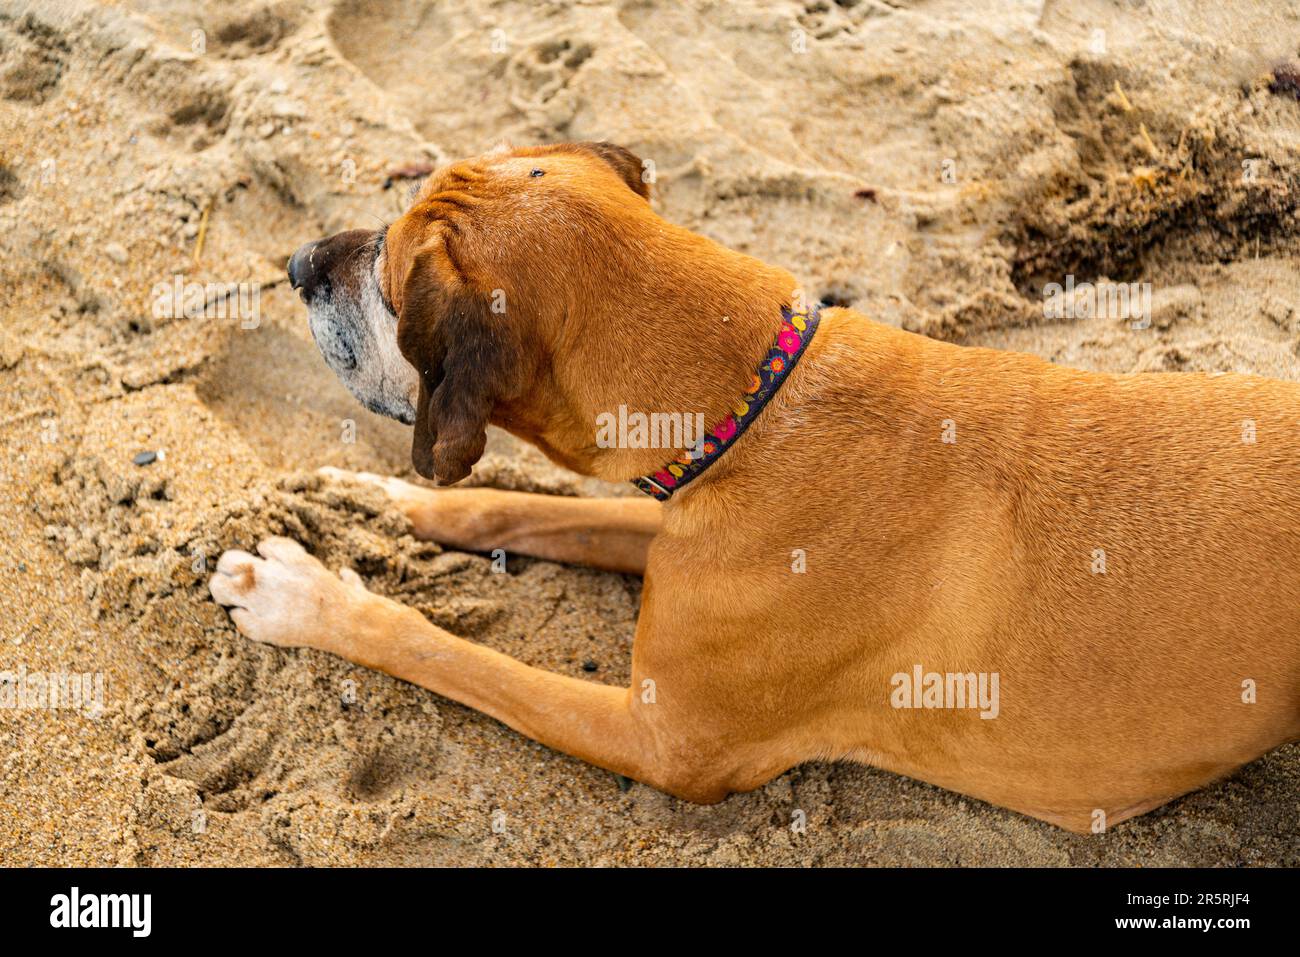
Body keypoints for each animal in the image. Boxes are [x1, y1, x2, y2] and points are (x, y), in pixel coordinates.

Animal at [208, 140, 1294, 832]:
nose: (296, 262)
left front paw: (298, 595)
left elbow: (438, 646)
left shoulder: (661, 738)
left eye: (384, 274)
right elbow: (523, 507)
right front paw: (382, 501)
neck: (755, 399)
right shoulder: (673, 523)